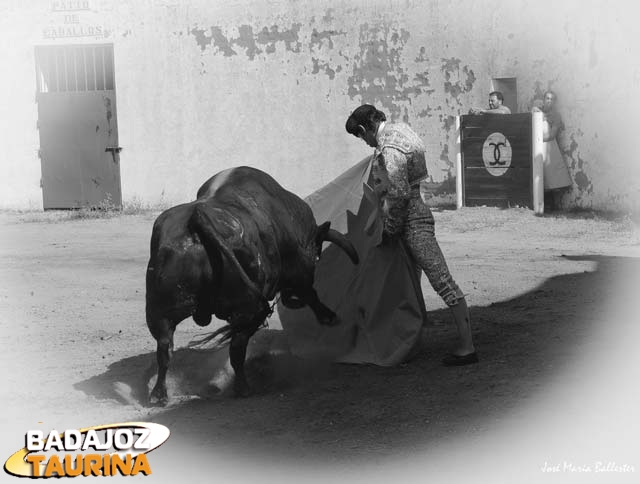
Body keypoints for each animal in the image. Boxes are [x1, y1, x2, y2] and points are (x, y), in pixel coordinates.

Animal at [146, 166, 360, 404]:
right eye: (316, 252)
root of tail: (198, 218)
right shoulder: (299, 271)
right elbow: (310, 292)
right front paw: (329, 316)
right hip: (249, 309)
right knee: (237, 348)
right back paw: (243, 388)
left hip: (161, 309)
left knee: (164, 348)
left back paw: (159, 394)